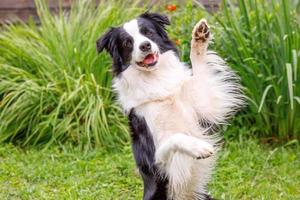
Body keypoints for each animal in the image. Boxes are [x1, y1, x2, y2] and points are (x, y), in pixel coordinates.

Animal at [97, 12, 243, 200]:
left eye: (148, 33)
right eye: (128, 43)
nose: (145, 45)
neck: (155, 80)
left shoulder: (203, 104)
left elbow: (200, 70)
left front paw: (199, 38)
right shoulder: (157, 160)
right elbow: (177, 137)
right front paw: (199, 147)